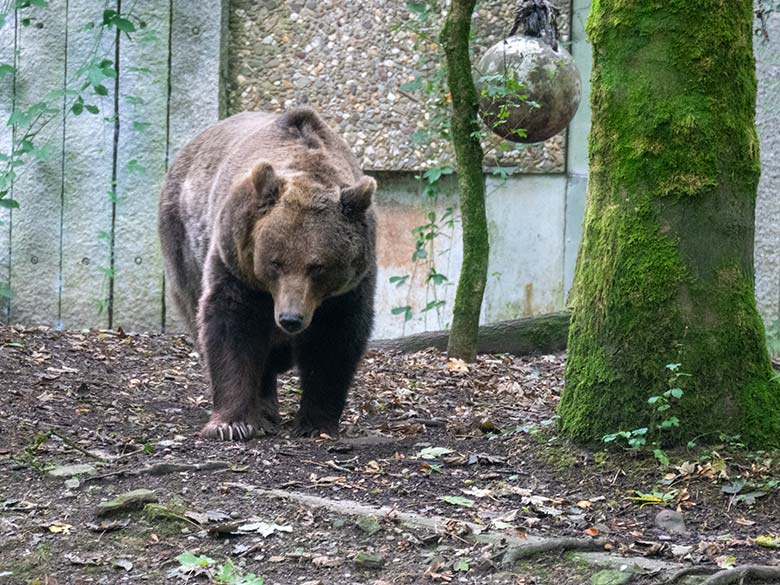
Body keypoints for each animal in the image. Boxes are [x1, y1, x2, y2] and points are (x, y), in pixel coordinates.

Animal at [158, 107, 374, 440]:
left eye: (318, 267)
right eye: (276, 262)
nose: (290, 318)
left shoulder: (350, 287)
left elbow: (334, 340)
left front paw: (316, 423)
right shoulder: (234, 260)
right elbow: (232, 326)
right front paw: (231, 423)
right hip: (182, 240)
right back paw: (263, 408)